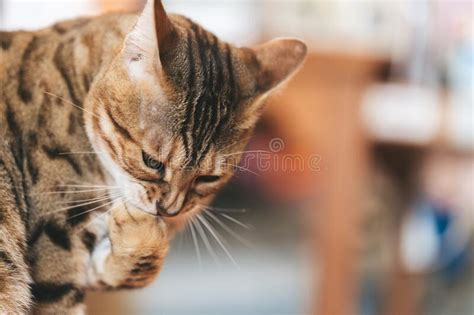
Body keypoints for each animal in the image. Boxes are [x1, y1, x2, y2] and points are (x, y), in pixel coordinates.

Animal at [0, 0, 308, 314]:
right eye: (151, 161)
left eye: (208, 177)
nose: (168, 210)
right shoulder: (54, 256)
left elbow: (136, 268)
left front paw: (139, 232)